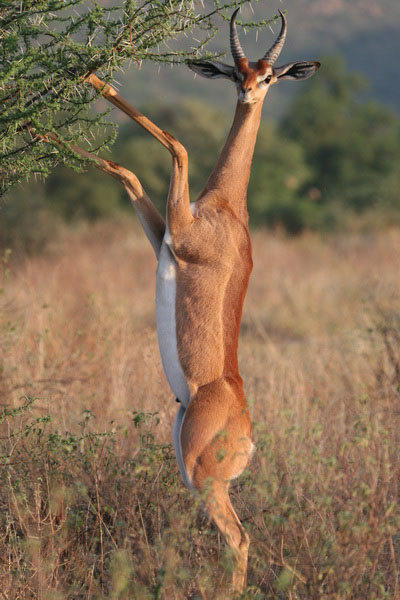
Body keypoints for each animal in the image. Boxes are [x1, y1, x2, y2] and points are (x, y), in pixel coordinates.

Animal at [61, 9, 318, 596]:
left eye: (270, 75)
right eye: (236, 70)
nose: (247, 91)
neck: (225, 206)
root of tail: (249, 438)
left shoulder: (179, 235)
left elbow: (176, 143)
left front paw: (84, 76)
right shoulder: (163, 238)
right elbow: (128, 170)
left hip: (205, 480)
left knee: (240, 540)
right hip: (188, 470)